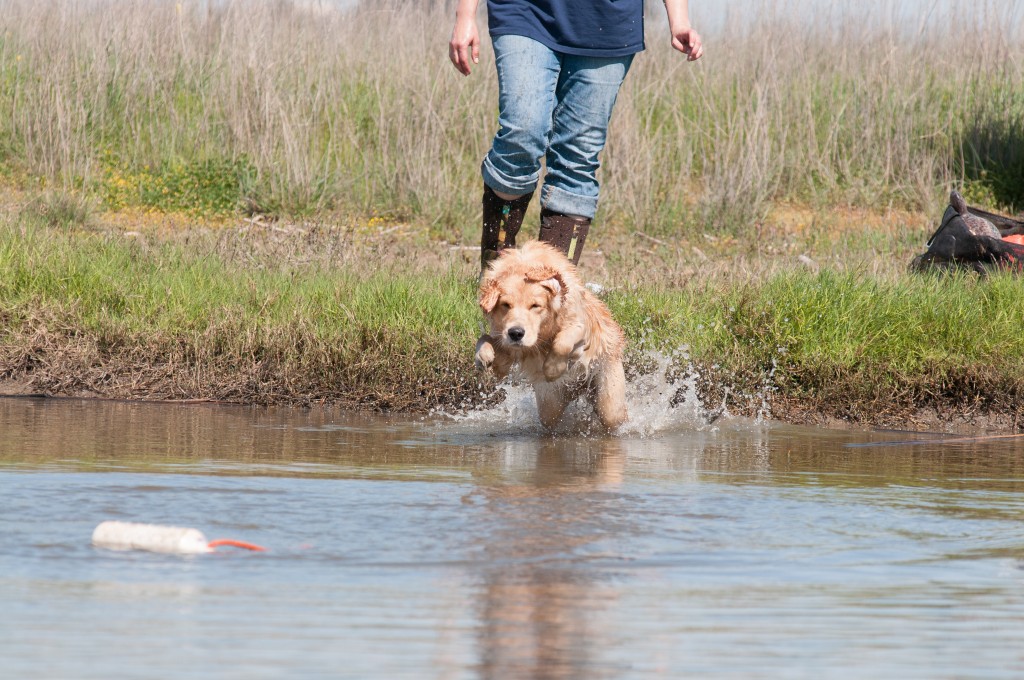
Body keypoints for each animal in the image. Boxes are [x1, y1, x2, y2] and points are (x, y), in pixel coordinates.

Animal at [475, 241, 626, 428]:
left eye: (535, 305)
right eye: (505, 305)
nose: (516, 333)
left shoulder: (579, 326)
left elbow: (562, 343)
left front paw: (553, 368)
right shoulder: (502, 336)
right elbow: (486, 339)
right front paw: (484, 356)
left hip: (608, 389)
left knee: (611, 414)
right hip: (550, 403)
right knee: (551, 415)